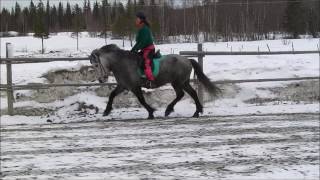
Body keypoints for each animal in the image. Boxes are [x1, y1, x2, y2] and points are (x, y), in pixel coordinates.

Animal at [89, 44, 220, 119]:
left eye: (96, 65)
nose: (101, 79)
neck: (122, 63)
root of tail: (187, 60)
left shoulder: (134, 87)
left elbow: (141, 100)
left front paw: (151, 112)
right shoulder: (123, 85)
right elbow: (112, 95)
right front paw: (106, 111)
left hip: (178, 82)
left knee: (182, 94)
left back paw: (171, 110)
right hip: (182, 82)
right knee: (190, 93)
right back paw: (196, 112)